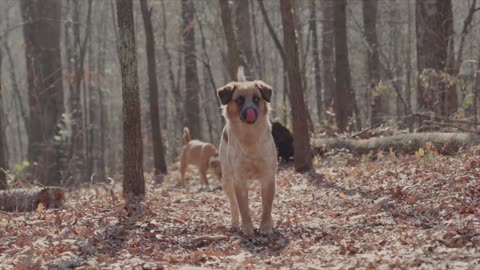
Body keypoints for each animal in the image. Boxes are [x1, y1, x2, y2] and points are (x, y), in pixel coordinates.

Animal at [218, 80, 278, 236]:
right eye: (239, 100)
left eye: (256, 99)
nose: (250, 111)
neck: (249, 137)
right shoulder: (239, 180)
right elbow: (243, 207)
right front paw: (247, 228)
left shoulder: (268, 177)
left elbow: (267, 206)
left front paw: (265, 227)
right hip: (226, 180)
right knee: (233, 205)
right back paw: (235, 224)